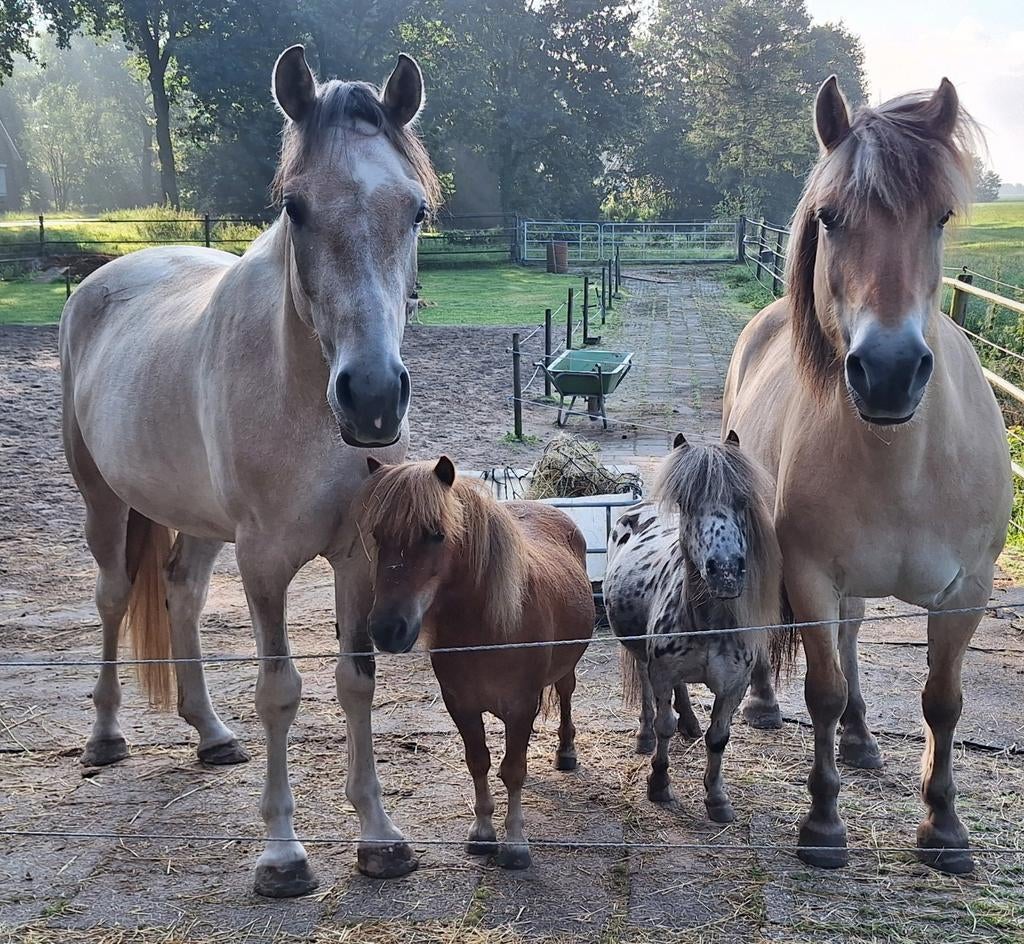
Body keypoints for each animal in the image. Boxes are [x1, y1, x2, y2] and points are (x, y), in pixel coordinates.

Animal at [58, 46, 442, 897]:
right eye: (294, 209)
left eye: (415, 211)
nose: (372, 397)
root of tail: (101, 281)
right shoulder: (265, 564)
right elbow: (280, 691)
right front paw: (283, 854)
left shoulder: (357, 557)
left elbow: (356, 679)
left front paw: (379, 837)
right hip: (103, 502)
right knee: (112, 599)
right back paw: (104, 735)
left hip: (197, 521)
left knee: (182, 594)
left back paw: (209, 732)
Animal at [354, 456, 595, 869]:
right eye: (378, 534)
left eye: (435, 534)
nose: (387, 629)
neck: (485, 629)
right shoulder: (461, 705)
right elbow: (479, 761)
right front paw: (482, 832)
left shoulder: (520, 705)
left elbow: (513, 770)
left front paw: (515, 843)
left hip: (565, 671)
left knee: (565, 695)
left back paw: (566, 752)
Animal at [604, 432, 783, 823]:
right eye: (687, 503)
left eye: (742, 499)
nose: (726, 570)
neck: (708, 625)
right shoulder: (662, 672)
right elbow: (663, 724)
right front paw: (658, 784)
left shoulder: (734, 686)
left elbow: (718, 738)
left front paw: (717, 799)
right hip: (640, 653)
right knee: (646, 689)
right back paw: (646, 735)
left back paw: (689, 723)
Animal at [722, 77, 1011, 873]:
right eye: (830, 217)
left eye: (940, 218)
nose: (887, 372)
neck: (906, 464)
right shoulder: (811, 573)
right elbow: (821, 689)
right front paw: (823, 824)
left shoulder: (968, 592)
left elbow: (942, 701)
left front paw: (944, 826)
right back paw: (766, 704)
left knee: (853, 639)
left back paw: (860, 738)